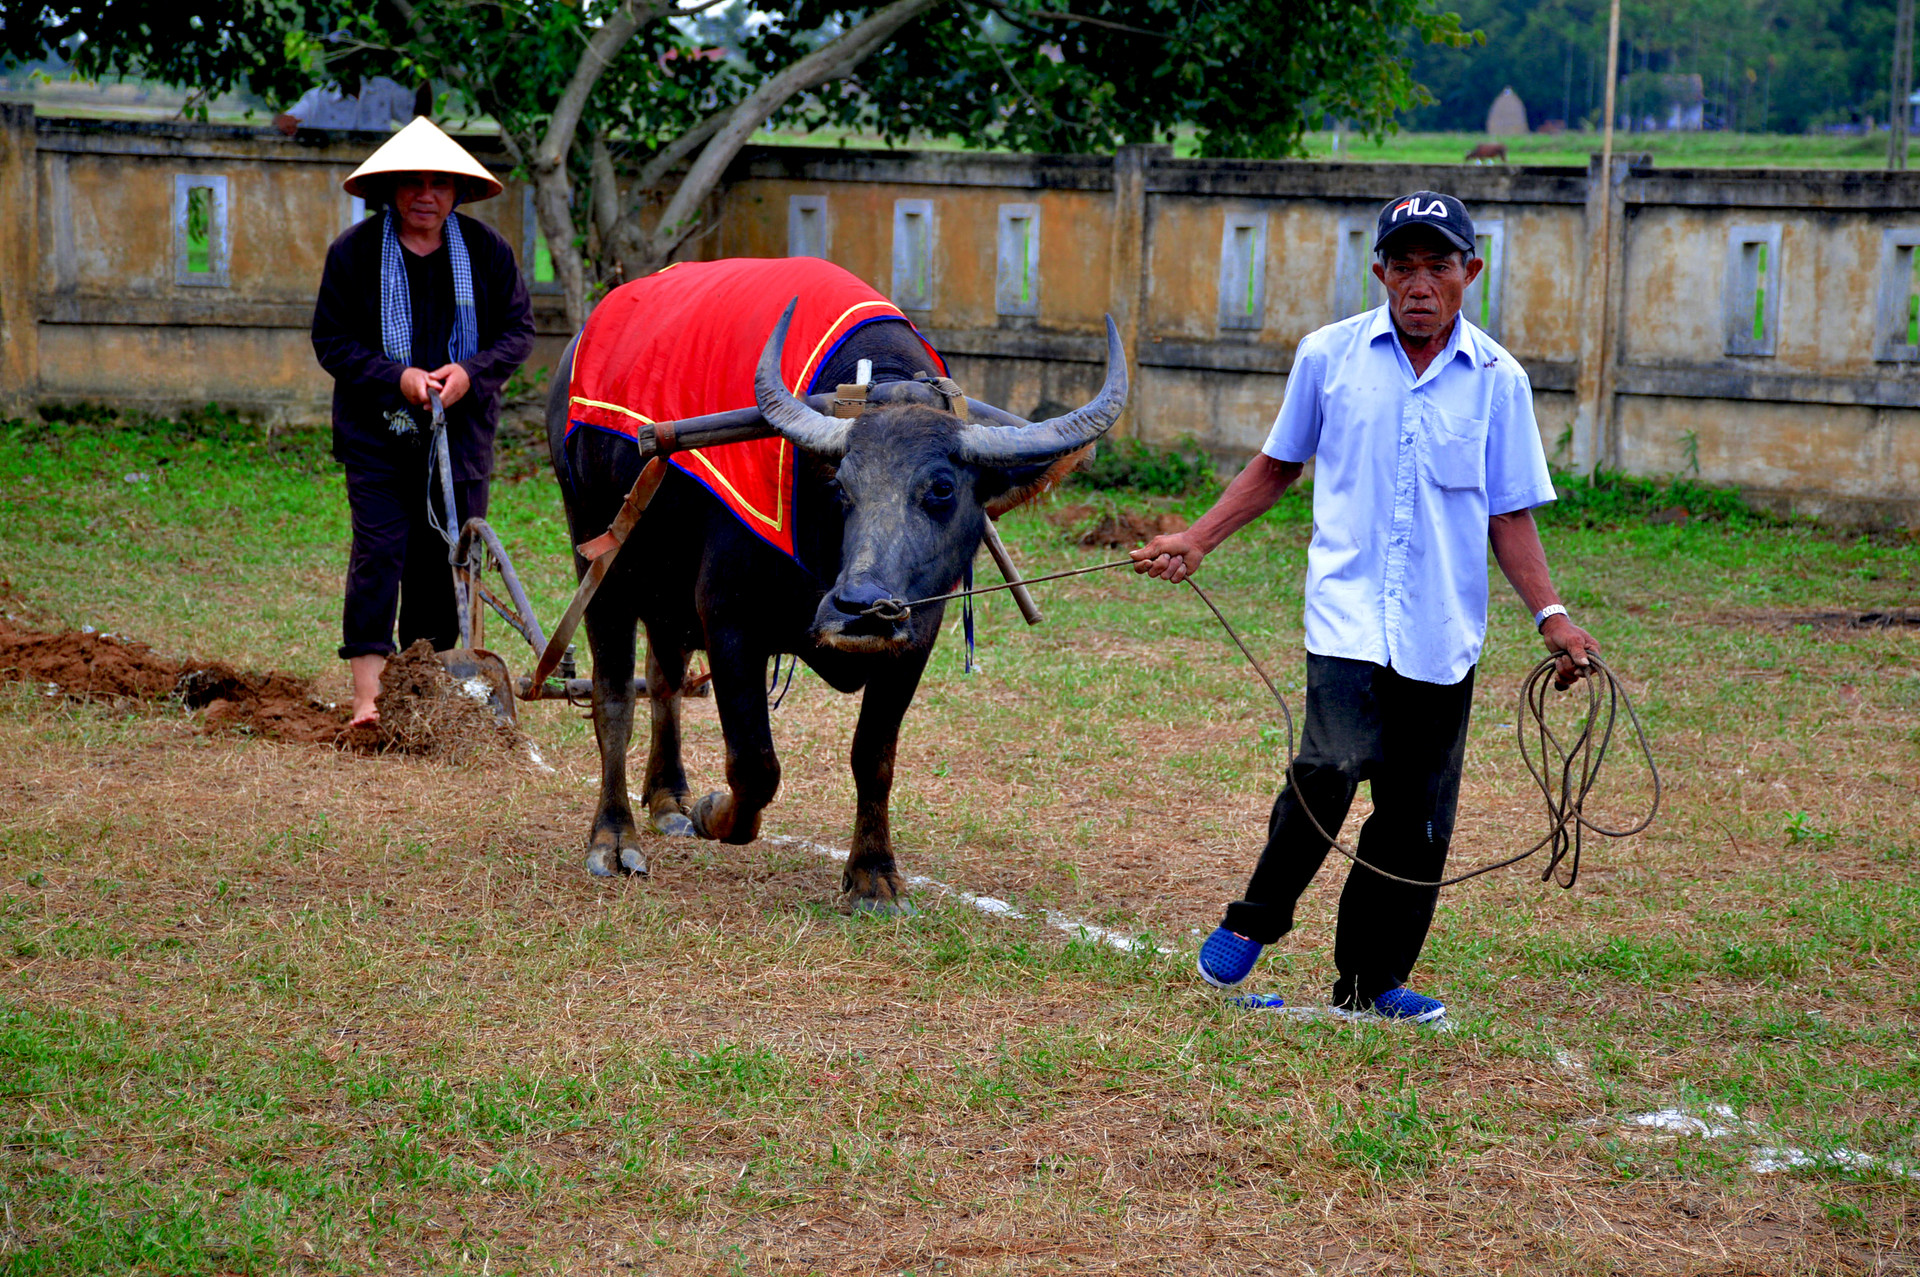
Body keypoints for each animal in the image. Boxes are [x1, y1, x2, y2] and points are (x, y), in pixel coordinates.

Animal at [545, 259, 1121, 906]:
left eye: (942, 488)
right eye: (840, 487)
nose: (859, 606)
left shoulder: (915, 636)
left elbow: (874, 756)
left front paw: (873, 874)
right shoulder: (728, 620)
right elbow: (754, 763)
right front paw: (715, 813)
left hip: (667, 586)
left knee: (663, 677)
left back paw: (670, 799)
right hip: (597, 555)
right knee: (614, 695)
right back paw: (615, 838)